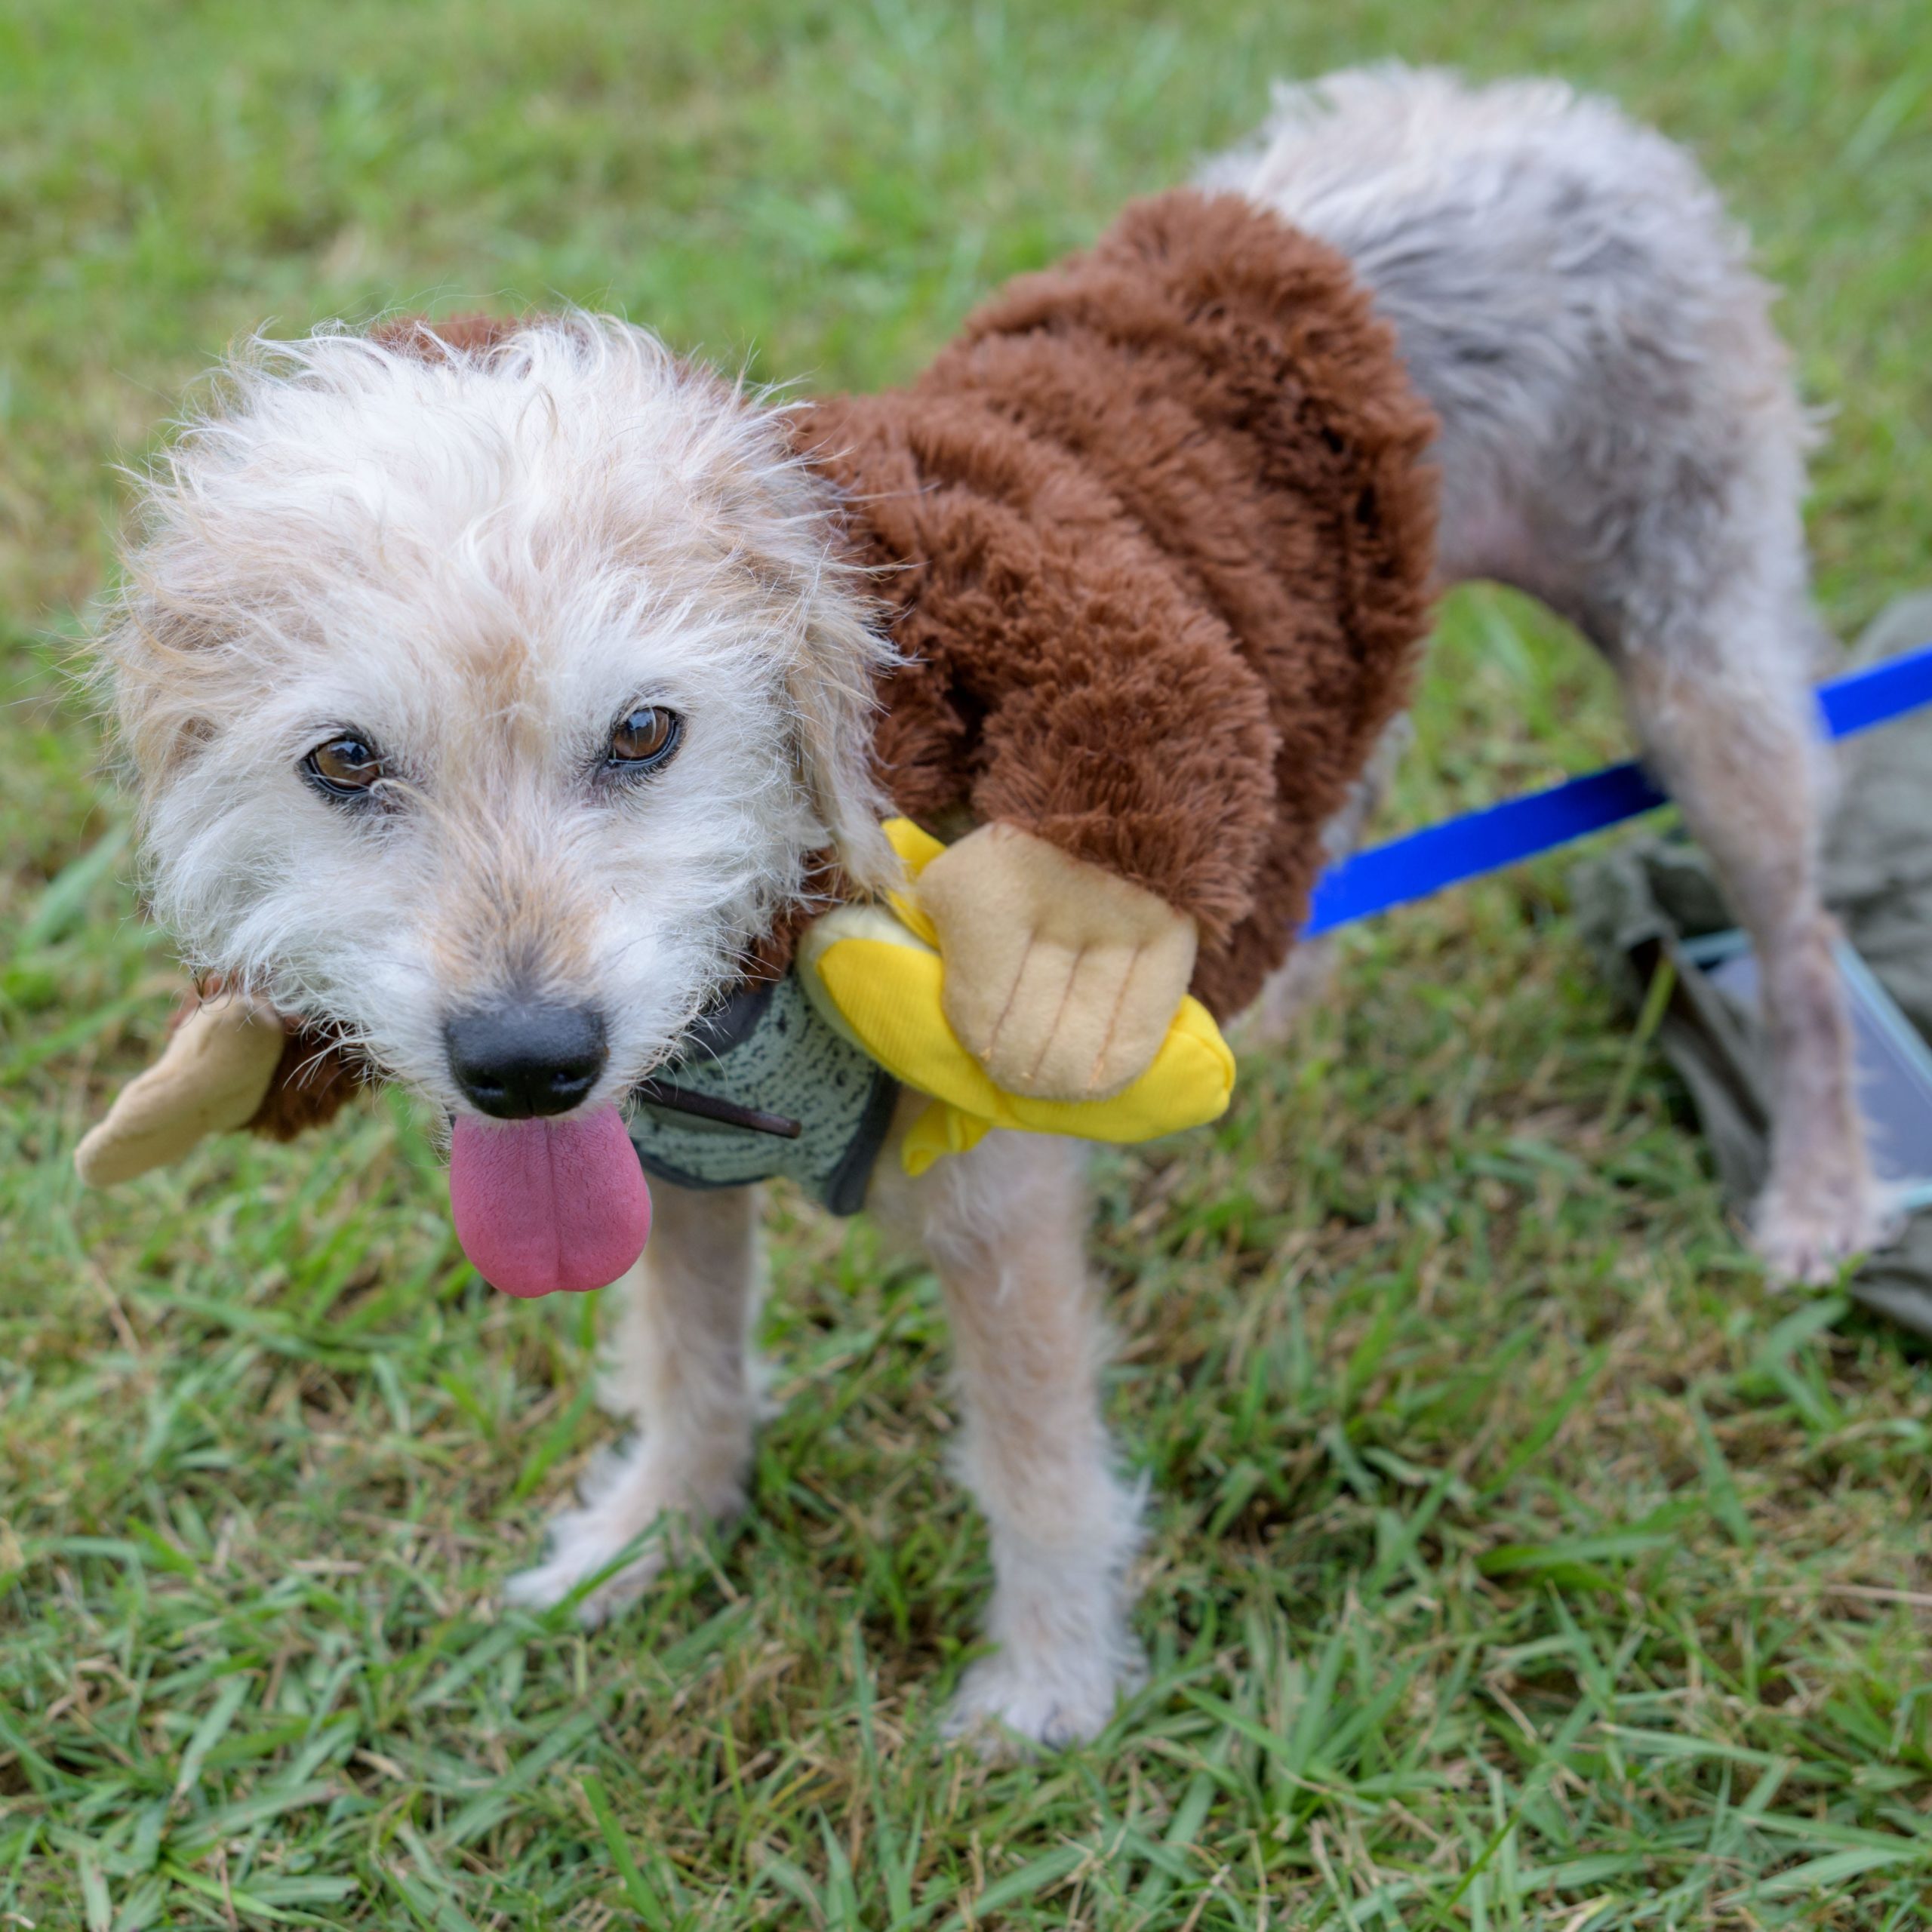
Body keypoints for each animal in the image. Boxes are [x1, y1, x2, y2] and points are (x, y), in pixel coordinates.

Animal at [94, 68, 1885, 1746]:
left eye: (647, 733)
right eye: (342, 761)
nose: (527, 1061)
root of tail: (1546, 110)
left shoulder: (995, 1208)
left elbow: (1035, 1470)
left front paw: (1048, 1695)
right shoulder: (668, 1169)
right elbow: (689, 1371)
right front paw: (651, 1543)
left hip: (1703, 672)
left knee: (1799, 940)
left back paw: (1818, 1188)